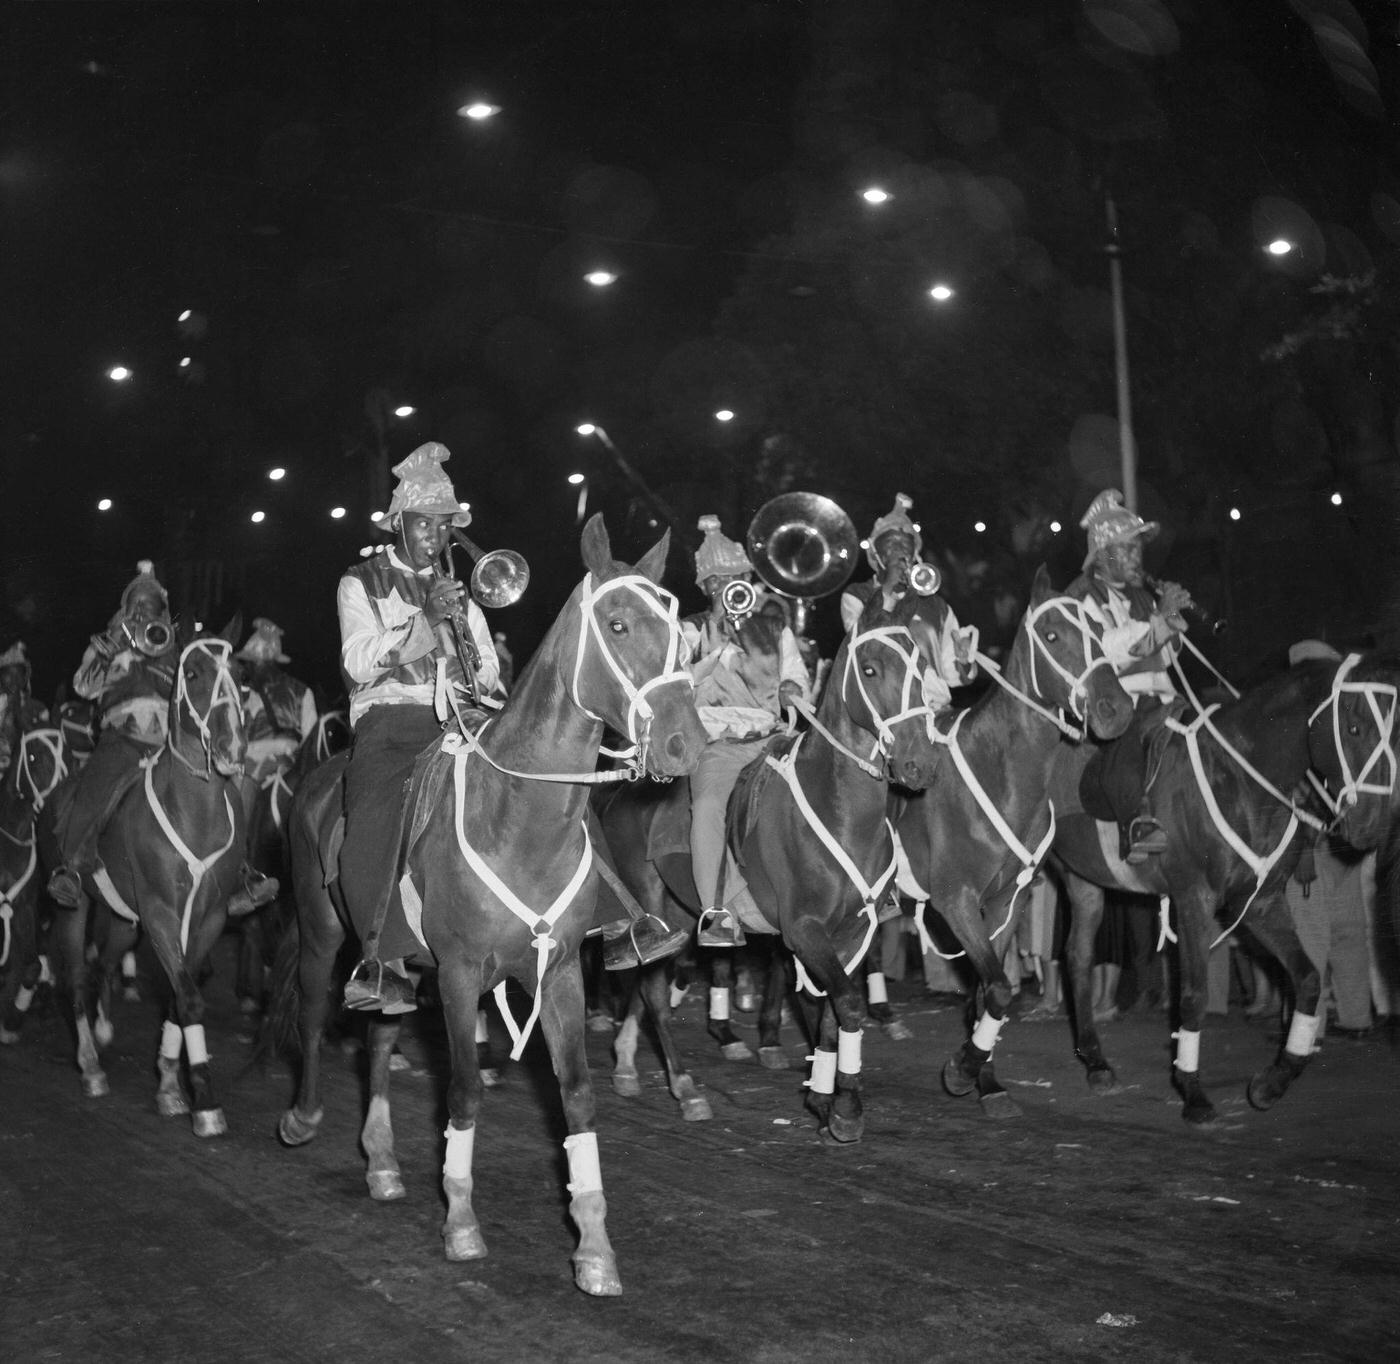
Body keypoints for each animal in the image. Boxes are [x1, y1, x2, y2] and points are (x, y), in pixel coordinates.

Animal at [41, 621, 249, 1131]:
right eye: (192, 673)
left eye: (240, 673)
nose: (232, 747)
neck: (194, 813)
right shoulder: (161, 915)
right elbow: (188, 998)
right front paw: (205, 1101)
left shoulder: (208, 919)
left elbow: (179, 996)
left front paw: (171, 1083)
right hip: (73, 909)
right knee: (77, 977)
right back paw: (91, 1066)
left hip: (122, 920)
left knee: (102, 964)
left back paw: (103, 1029)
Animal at [277, 518, 705, 1299]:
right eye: (618, 624)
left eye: (681, 631)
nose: (685, 743)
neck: (519, 817)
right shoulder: (458, 973)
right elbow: (465, 1093)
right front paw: (461, 1223)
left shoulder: (558, 972)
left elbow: (577, 1095)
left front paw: (594, 1247)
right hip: (324, 934)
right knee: (314, 1008)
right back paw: (302, 1116)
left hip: (396, 964)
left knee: (379, 1036)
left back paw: (382, 1162)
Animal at [596, 593, 946, 1137]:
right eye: (869, 669)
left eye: (921, 665)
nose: (919, 763)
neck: (840, 810)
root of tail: (622, 789)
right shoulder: (804, 929)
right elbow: (847, 1003)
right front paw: (846, 1109)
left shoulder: (853, 932)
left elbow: (833, 1011)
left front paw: (825, 1097)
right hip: (651, 902)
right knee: (652, 992)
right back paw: (685, 1088)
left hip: (678, 917)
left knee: (644, 985)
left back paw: (628, 1064)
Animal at [896, 568, 1136, 1120]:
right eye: (1051, 635)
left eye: (1099, 630)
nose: (1116, 709)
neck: (1001, 775)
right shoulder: (956, 901)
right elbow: (1000, 989)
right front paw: (962, 1071)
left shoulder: (1008, 899)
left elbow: (992, 991)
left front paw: (983, 1077)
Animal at [1052, 655, 1394, 1125]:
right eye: (1355, 728)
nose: (1372, 826)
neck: (1241, 778)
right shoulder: (1193, 900)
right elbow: (1194, 996)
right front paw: (1193, 1092)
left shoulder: (1260, 903)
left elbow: (1307, 980)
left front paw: (1274, 1080)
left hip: (1082, 882)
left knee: (1078, 956)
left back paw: (1096, 1062)